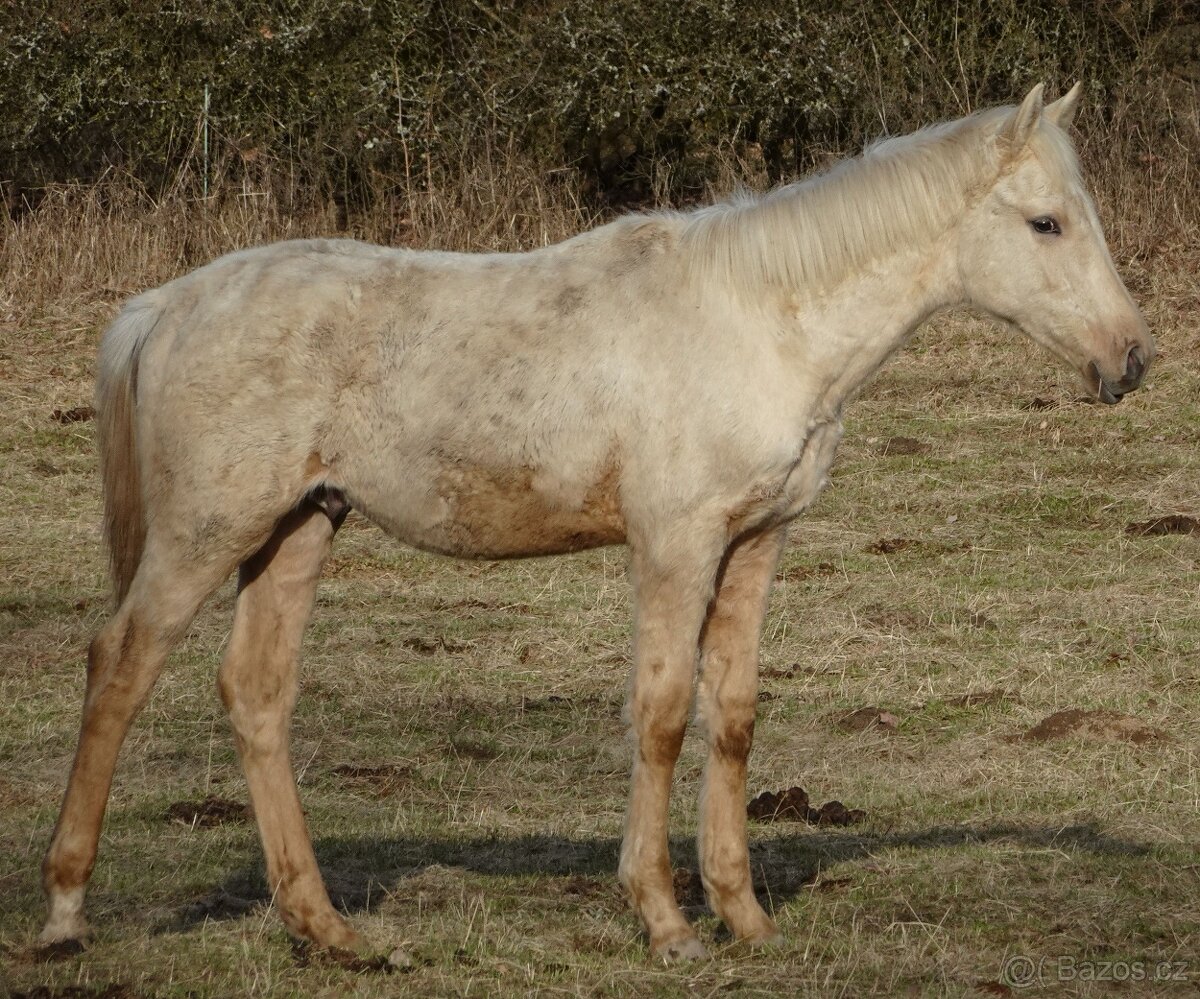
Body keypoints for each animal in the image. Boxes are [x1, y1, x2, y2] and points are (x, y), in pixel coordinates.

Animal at [42, 84, 1152, 960]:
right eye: (1046, 223)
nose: (1131, 359)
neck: (757, 320)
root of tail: (166, 305)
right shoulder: (677, 546)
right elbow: (660, 715)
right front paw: (665, 920)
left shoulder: (756, 543)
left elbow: (733, 716)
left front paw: (745, 919)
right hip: (206, 534)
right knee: (119, 666)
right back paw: (65, 913)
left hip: (299, 527)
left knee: (256, 694)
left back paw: (329, 931)